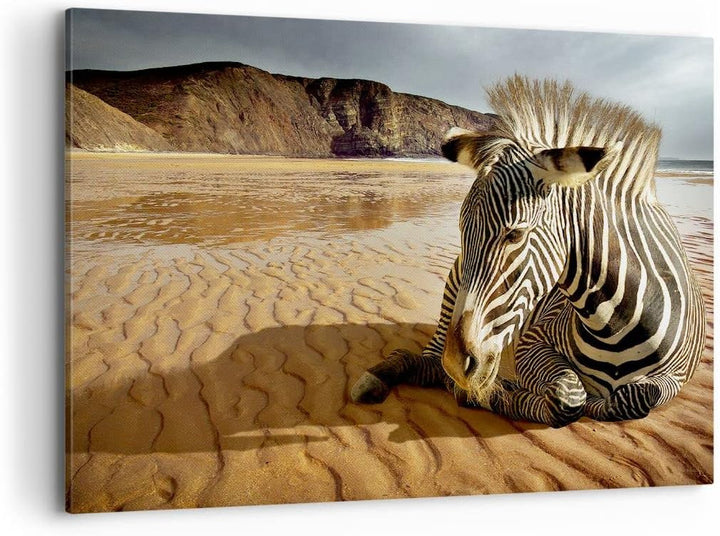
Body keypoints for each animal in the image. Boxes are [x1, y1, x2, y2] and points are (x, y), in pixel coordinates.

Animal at [350, 76, 706, 427]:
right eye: (463, 230)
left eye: (515, 234)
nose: (457, 364)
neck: (616, 324)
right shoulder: (532, 341)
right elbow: (567, 397)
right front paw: (492, 395)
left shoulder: (675, 377)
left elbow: (633, 397)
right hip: (452, 293)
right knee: (429, 361)